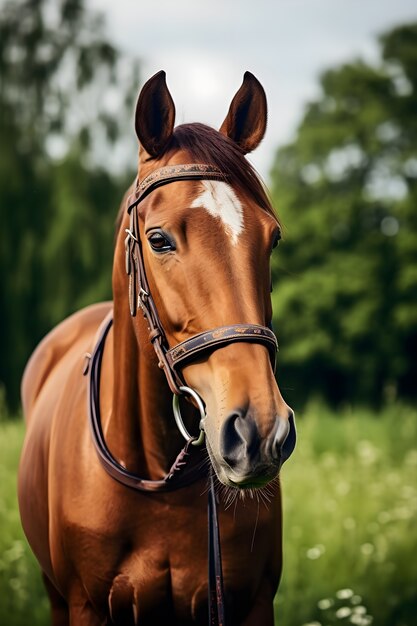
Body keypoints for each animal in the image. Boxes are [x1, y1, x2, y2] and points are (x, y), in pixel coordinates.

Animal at [17, 70, 296, 620]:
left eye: (272, 239)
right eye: (159, 239)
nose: (259, 431)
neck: (156, 476)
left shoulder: (253, 603)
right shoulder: (84, 606)